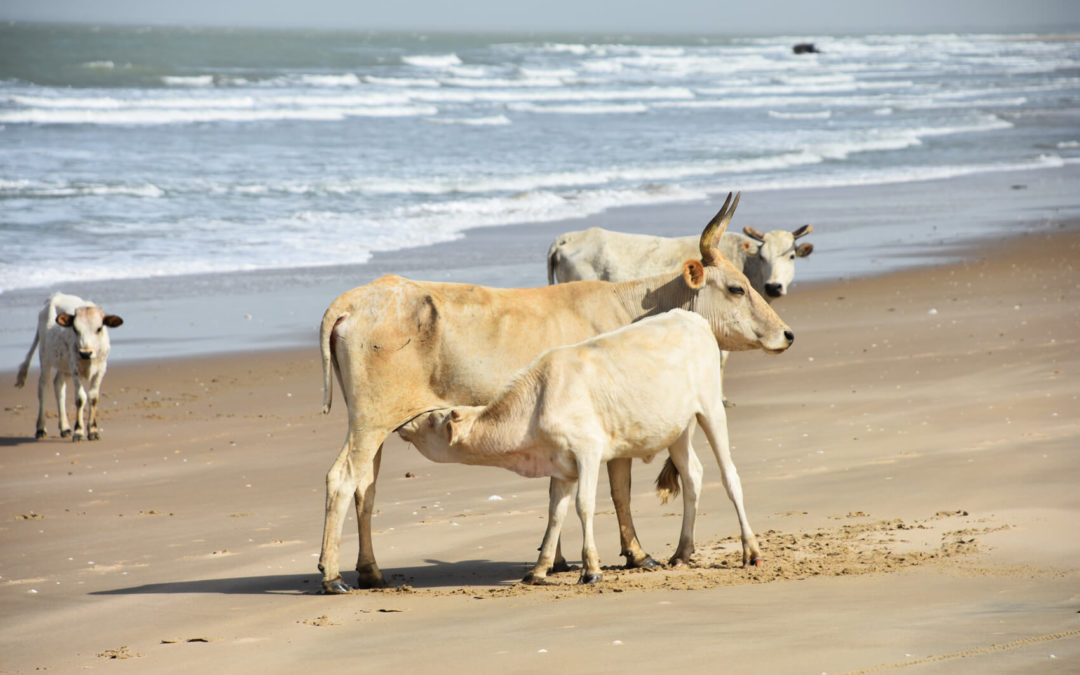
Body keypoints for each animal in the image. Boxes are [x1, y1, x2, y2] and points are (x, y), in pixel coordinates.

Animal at [15, 291, 124, 440]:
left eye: (99, 328)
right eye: (75, 329)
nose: (85, 353)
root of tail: (55, 295)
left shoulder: (101, 369)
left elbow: (93, 397)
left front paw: (93, 430)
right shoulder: (75, 369)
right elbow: (80, 398)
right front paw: (78, 431)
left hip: (64, 366)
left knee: (59, 385)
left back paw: (65, 427)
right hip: (45, 357)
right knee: (43, 387)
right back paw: (41, 428)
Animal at [401, 308, 764, 583]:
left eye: (433, 420)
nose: (405, 422)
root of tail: (689, 315)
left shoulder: (587, 451)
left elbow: (583, 506)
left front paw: (591, 569)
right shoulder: (561, 465)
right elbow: (555, 513)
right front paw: (539, 569)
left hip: (711, 408)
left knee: (730, 476)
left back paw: (751, 551)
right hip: (677, 428)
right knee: (692, 475)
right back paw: (682, 551)